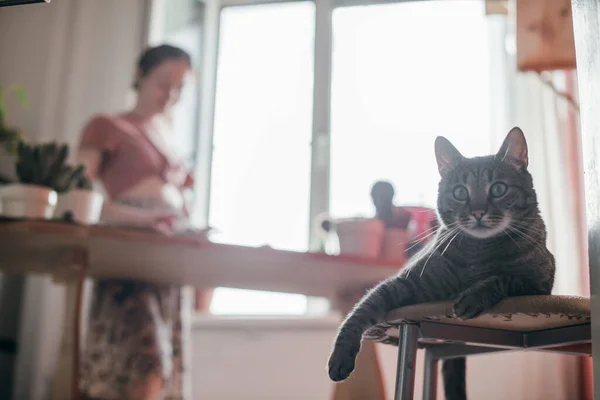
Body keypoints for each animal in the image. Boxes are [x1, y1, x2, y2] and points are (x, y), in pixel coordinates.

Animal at [326, 126, 556, 400]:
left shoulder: (541, 283)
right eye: (460, 192)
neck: (478, 253)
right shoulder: (405, 282)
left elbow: (505, 278)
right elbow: (363, 308)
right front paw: (340, 357)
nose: (478, 212)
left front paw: (472, 297)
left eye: (499, 189)